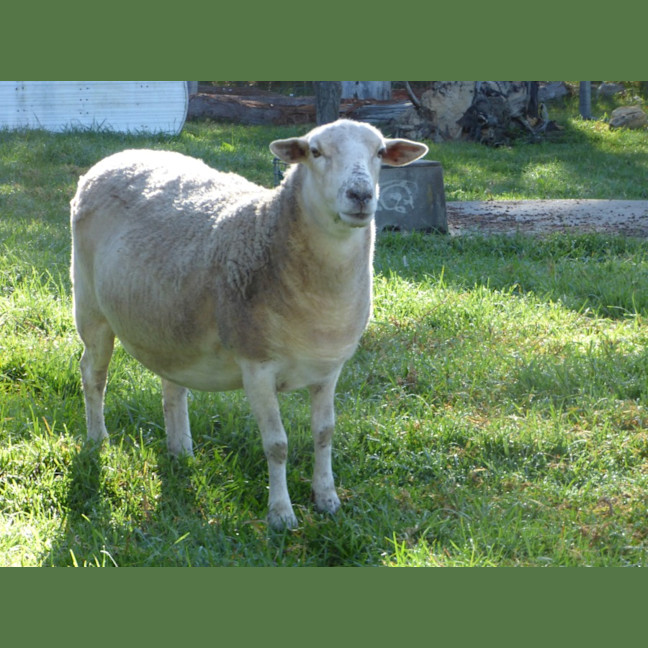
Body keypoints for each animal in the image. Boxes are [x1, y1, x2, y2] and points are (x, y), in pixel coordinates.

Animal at [70, 118, 428, 529]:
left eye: (380, 152)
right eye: (315, 152)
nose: (360, 195)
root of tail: (116, 157)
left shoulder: (328, 370)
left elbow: (324, 433)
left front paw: (327, 498)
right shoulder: (256, 367)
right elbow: (277, 445)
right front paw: (282, 514)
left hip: (170, 323)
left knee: (172, 385)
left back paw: (181, 450)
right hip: (90, 307)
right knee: (93, 374)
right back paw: (97, 439)